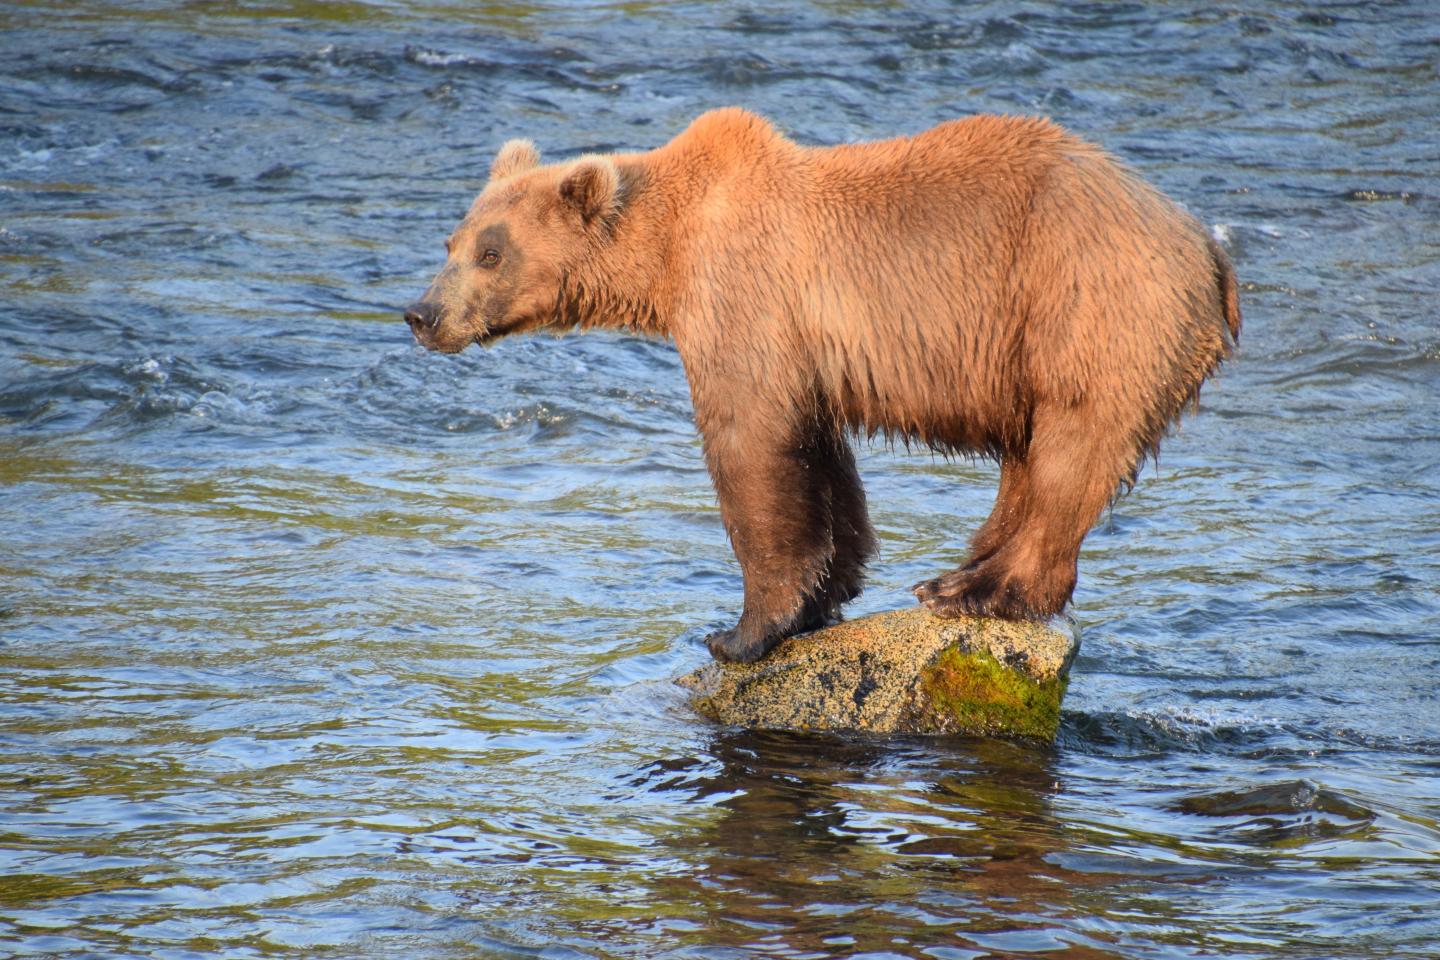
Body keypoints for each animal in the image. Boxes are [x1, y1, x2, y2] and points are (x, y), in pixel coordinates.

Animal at [403, 105, 1238, 662]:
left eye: (490, 252)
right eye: (451, 240)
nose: (420, 313)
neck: (668, 253)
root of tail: (1207, 245)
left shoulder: (745, 297)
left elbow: (753, 447)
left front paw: (740, 631)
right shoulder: (808, 351)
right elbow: (821, 456)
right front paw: (829, 590)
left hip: (1088, 305)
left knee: (1072, 449)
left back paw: (982, 589)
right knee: (1031, 456)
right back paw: (956, 573)